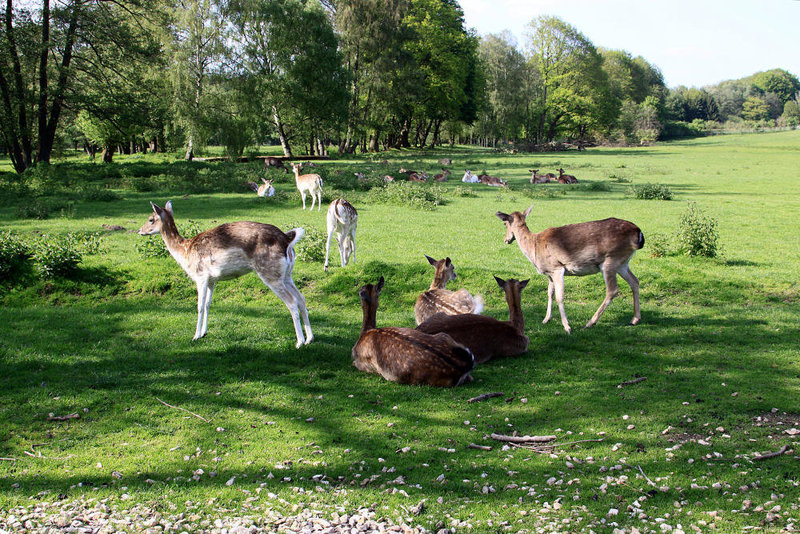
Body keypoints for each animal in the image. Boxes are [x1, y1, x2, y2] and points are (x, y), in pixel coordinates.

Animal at [138, 201, 312, 348]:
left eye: (150, 219)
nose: (140, 231)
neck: (185, 252)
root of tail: (287, 240)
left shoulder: (200, 276)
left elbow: (199, 306)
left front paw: (195, 336)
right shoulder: (212, 280)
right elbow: (208, 304)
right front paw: (204, 333)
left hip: (270, 273)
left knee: (291, 301)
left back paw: (299, 342)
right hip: (287, 274)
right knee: (301, 298)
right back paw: (310, 339)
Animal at [496, 206, 648, 336]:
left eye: (505, 224)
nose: (506, 239)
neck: (533, 247)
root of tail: (638, 233)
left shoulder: (557, 268)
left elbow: (559, 296)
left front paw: (567, 327)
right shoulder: (549, 273)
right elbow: (550, 293)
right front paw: (546, 319)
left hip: (610, 260)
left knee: (613, 289)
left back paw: (590, 323)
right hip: (623, 263)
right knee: (635, 281)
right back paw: (635, 319)